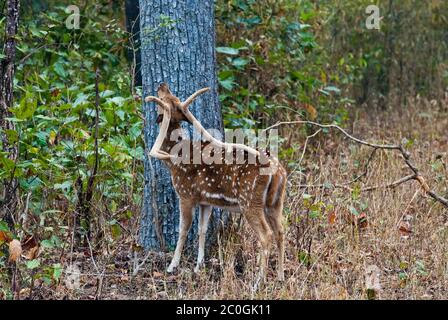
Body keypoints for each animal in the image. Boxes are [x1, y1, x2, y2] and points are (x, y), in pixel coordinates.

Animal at [145, 82, 288, 282]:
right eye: (172, 96)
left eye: (163, 100)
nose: (162, 85)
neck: (174, 159)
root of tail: (278, 171)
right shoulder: (206, 201)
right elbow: (202, 229)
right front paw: (198, 266)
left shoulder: (185, 194)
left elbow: (183, 229)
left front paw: (172, 266)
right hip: (275, 202)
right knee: (280, 231)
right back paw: (281, 275)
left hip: (250, 201)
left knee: (266, 235)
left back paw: (258, 280)